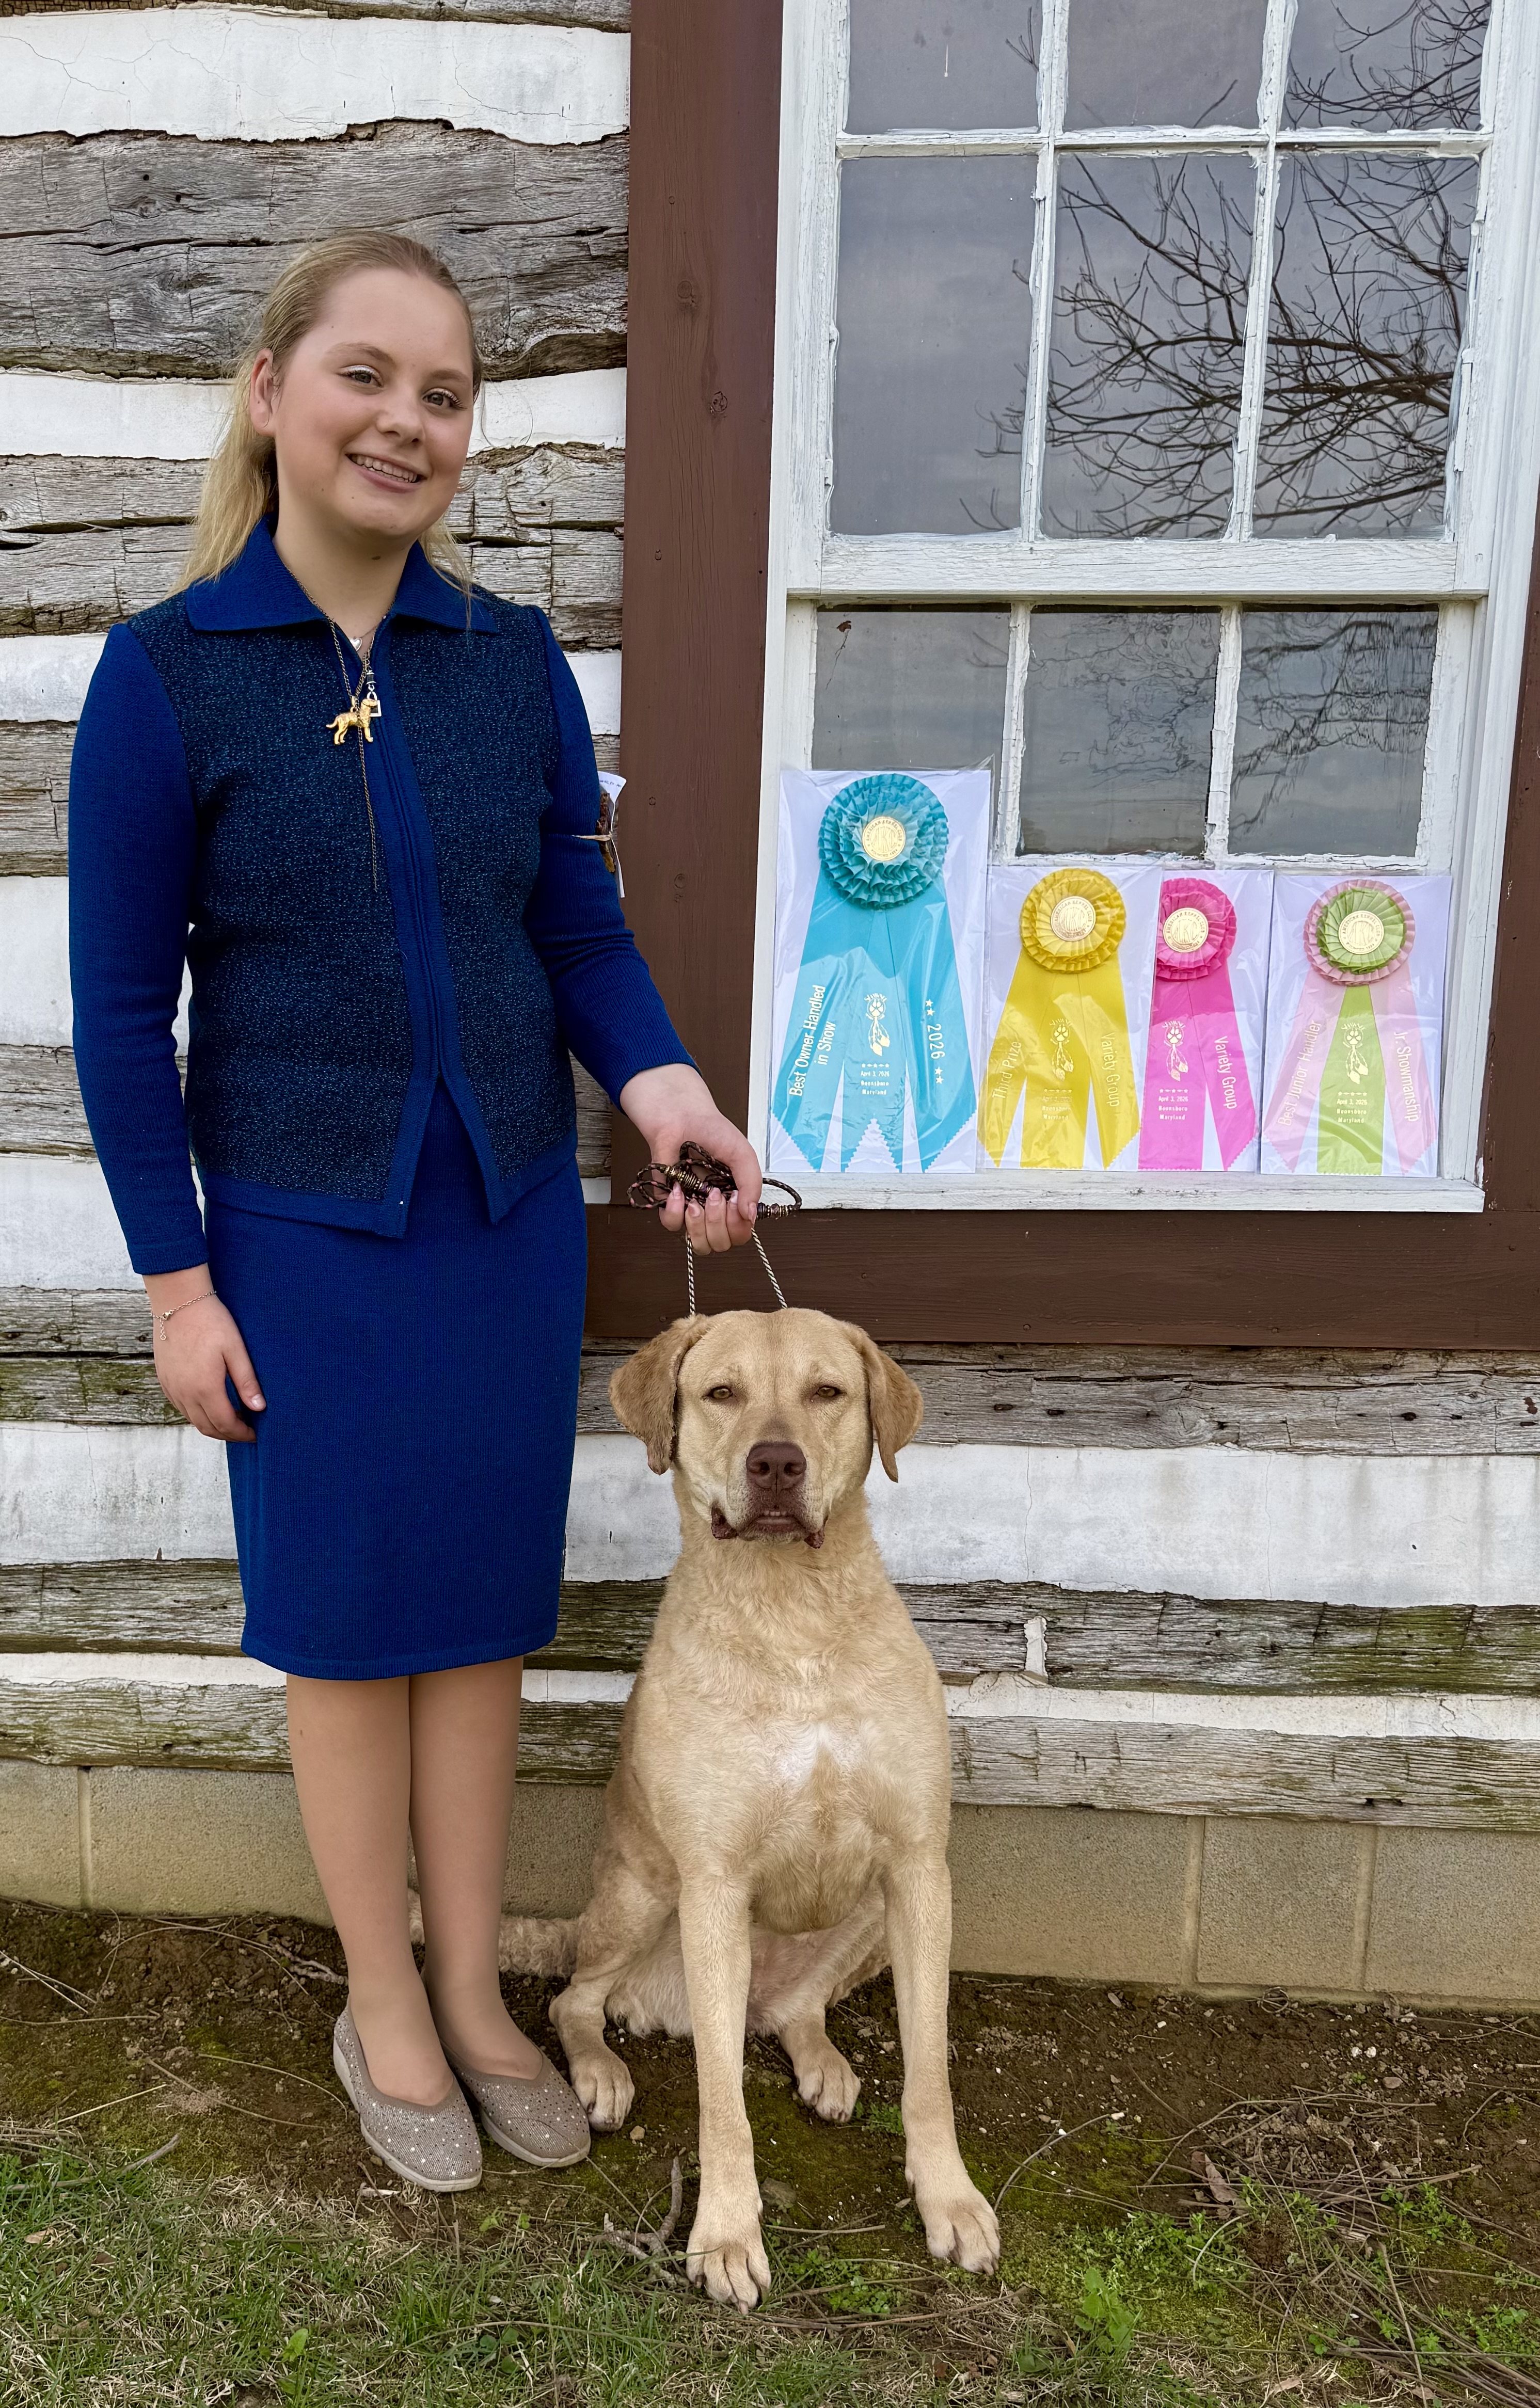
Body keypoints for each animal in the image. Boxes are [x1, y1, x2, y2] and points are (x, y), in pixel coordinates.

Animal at [502, 1306, 1001, 2310]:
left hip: (868, 1912)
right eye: (721, 1393)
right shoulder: (712, 1882)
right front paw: (726, 2233)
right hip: (641, 1896)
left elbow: (928, 2071)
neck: (790, 1612)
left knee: (791, 2010)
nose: (776, 1463)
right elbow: (720, 2103)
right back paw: (602, 2071)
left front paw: (948, 2198)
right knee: (577, 1999)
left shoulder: (918, 1864)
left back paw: (821, 2060)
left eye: (827, 1391)